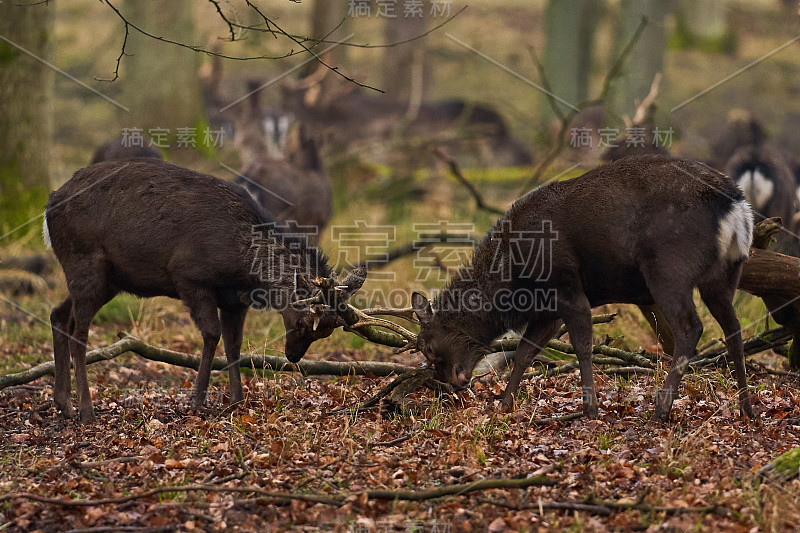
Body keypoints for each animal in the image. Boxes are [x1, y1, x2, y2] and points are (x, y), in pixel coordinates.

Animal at [45, 158, 364, 420]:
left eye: (325, 332)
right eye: (301, 323)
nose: (294, 357)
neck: (244, 267)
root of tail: (49, 205)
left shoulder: (235, 300)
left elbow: (234, 344)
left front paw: (237, 400)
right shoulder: (190, 277)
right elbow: (212, 334)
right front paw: (198, 401)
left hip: (107, 279)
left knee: (59, 316)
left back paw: (64, 403)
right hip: (85, 262)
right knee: (79, 333)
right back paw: (86, 411)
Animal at [412, 154, 756, 420]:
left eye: (427, 346)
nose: (449, 384)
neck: (513, 281)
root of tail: (738, 208)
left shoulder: (567, 286)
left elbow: (581, 346)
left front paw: (590, 409)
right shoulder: (547, 311)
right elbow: (524, 353)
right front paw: (504, 404)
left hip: (669, 267)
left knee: (691, 327)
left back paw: (661, 409)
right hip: (725, 274)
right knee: (734, 330)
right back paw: (747, 408)